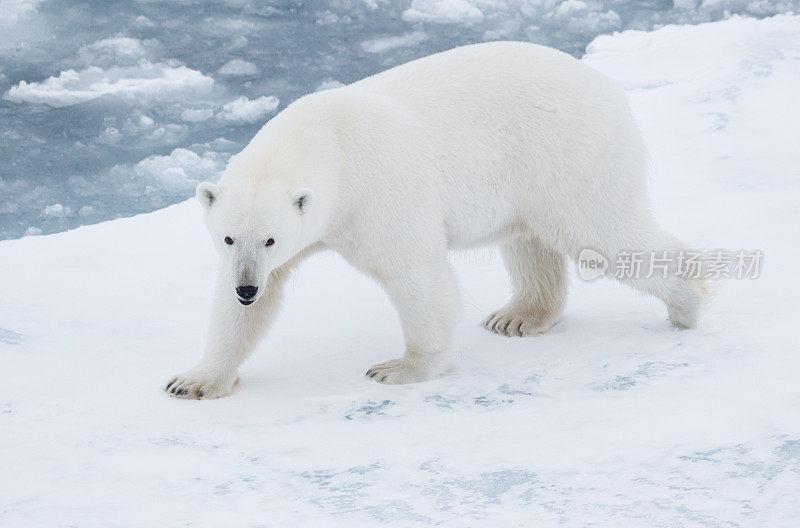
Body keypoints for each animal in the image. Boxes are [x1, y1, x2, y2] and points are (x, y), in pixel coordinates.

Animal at [164, 41, 708, 400]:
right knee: (529, 242)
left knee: (602, 232)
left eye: (271, 239)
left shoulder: (378, 190)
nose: (246, 287)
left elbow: (414, 273)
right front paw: (192, 380)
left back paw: (688, 302)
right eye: (229, 238)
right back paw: (518, 316)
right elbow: (245, 312)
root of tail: (610, 87)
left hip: (568, 152)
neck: (328, 141)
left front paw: (399, 368)